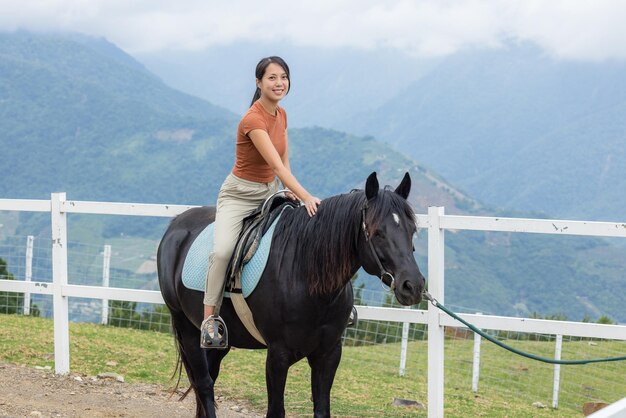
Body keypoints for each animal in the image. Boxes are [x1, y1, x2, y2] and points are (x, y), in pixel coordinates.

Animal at [158, 171, 426, 416]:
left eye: (412, 229)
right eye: (377, 232)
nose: (412, 285)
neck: (305, 274)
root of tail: (176, 225)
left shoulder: (329, 354)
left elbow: (322, 410)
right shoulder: (278, 356)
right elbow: (276, 411)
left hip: (222, 341)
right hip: (187, 328)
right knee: (204, 385)